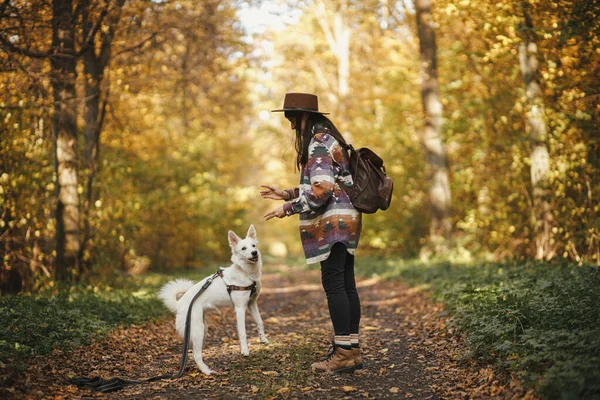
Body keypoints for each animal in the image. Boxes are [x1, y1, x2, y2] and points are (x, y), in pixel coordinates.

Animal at [158, 225, 268, 376]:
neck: (245, 272)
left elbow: (260, 322)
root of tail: (179, 304)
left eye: (253, 245)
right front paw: (245, 351)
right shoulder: (240, 308)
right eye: (243, 248)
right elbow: (242, 332)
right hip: (198, 329)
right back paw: (206, 371)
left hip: (202, 328)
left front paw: (263, 339)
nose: (254, 252)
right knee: (196, 355)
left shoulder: (252, 304)